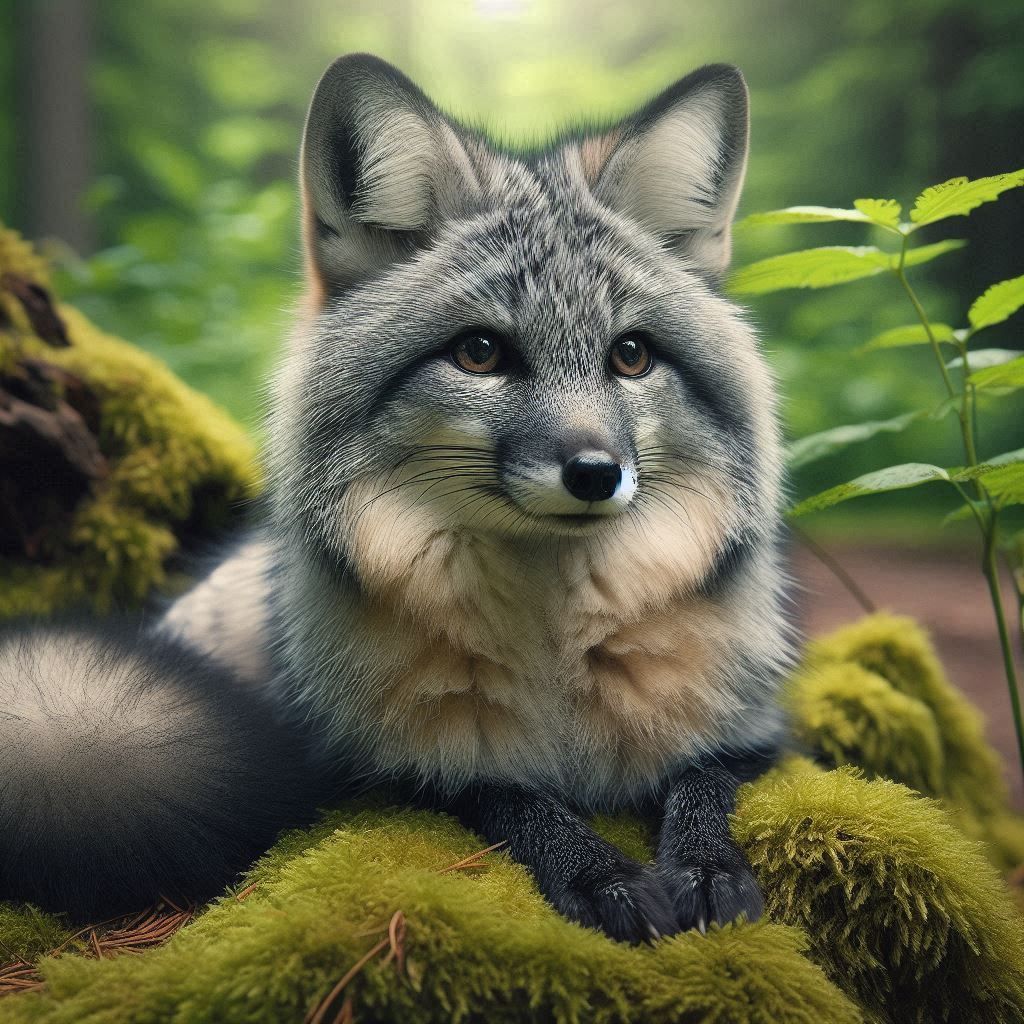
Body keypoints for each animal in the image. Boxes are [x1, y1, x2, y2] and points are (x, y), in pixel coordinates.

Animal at [0, 54, 790, 942]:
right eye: (480, 352)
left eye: (630, 356)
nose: (594, 473)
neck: (554, 662)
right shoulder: (384, 768)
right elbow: (509, 795)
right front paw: (599, 874)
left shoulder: (756, 729)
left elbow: (704, 781)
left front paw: (707, 867)